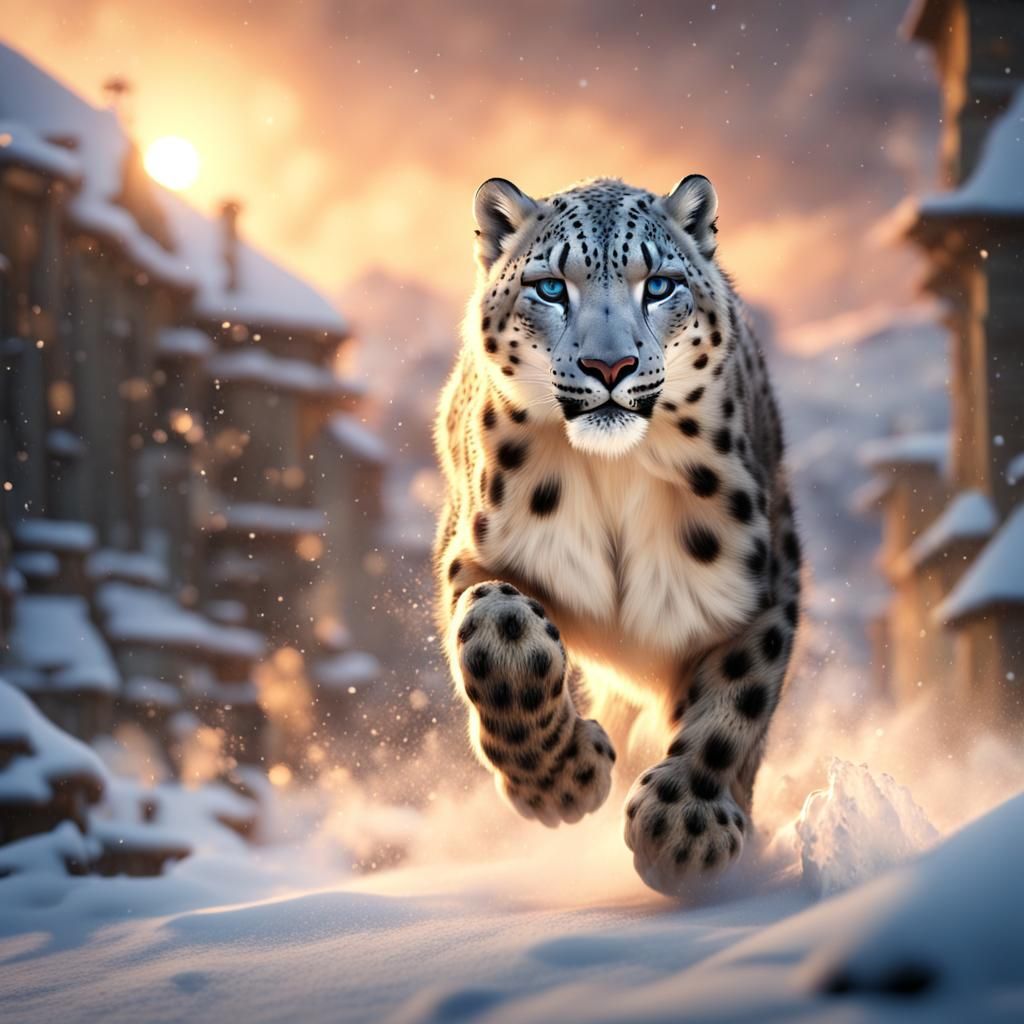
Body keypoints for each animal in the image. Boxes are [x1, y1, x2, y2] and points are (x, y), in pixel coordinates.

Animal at [433, 175, 801, 896]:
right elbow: (496, 627)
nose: (611, 365)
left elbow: (738, 699)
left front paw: (686, 828)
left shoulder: (764, 583)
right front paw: (561, 784)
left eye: (658, 284)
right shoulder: (474, 552)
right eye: (551, 287)